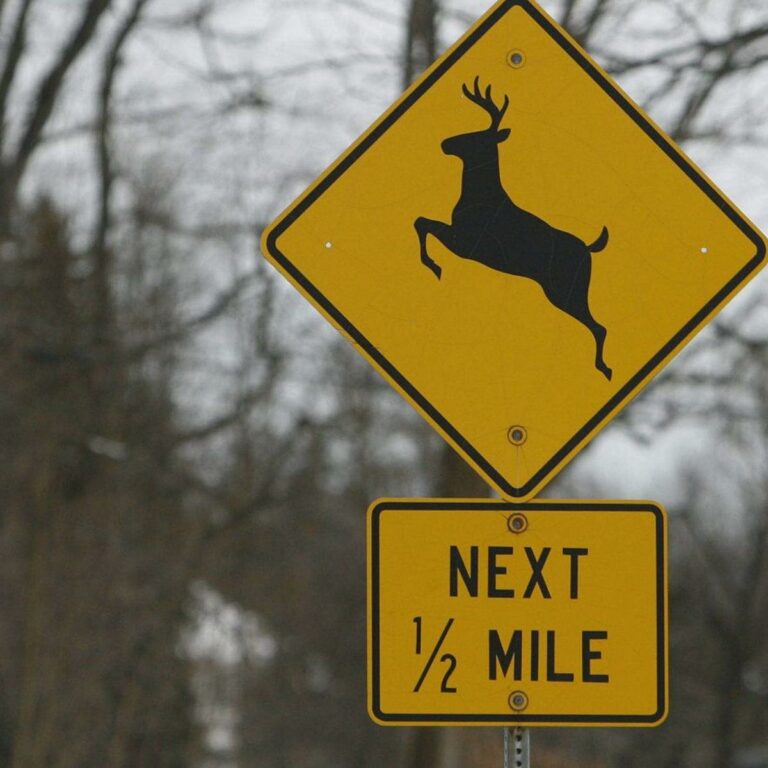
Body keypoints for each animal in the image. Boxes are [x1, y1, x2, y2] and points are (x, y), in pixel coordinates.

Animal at [415, 77, 612, 380]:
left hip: (567, 288)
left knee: (599, 326)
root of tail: (590, 249)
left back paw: (604, 368)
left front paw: (434, 266)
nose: (445, 143)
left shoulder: (467, 243)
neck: (478, 195)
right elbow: (421, 221)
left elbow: (422, 222)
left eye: (477, 136)